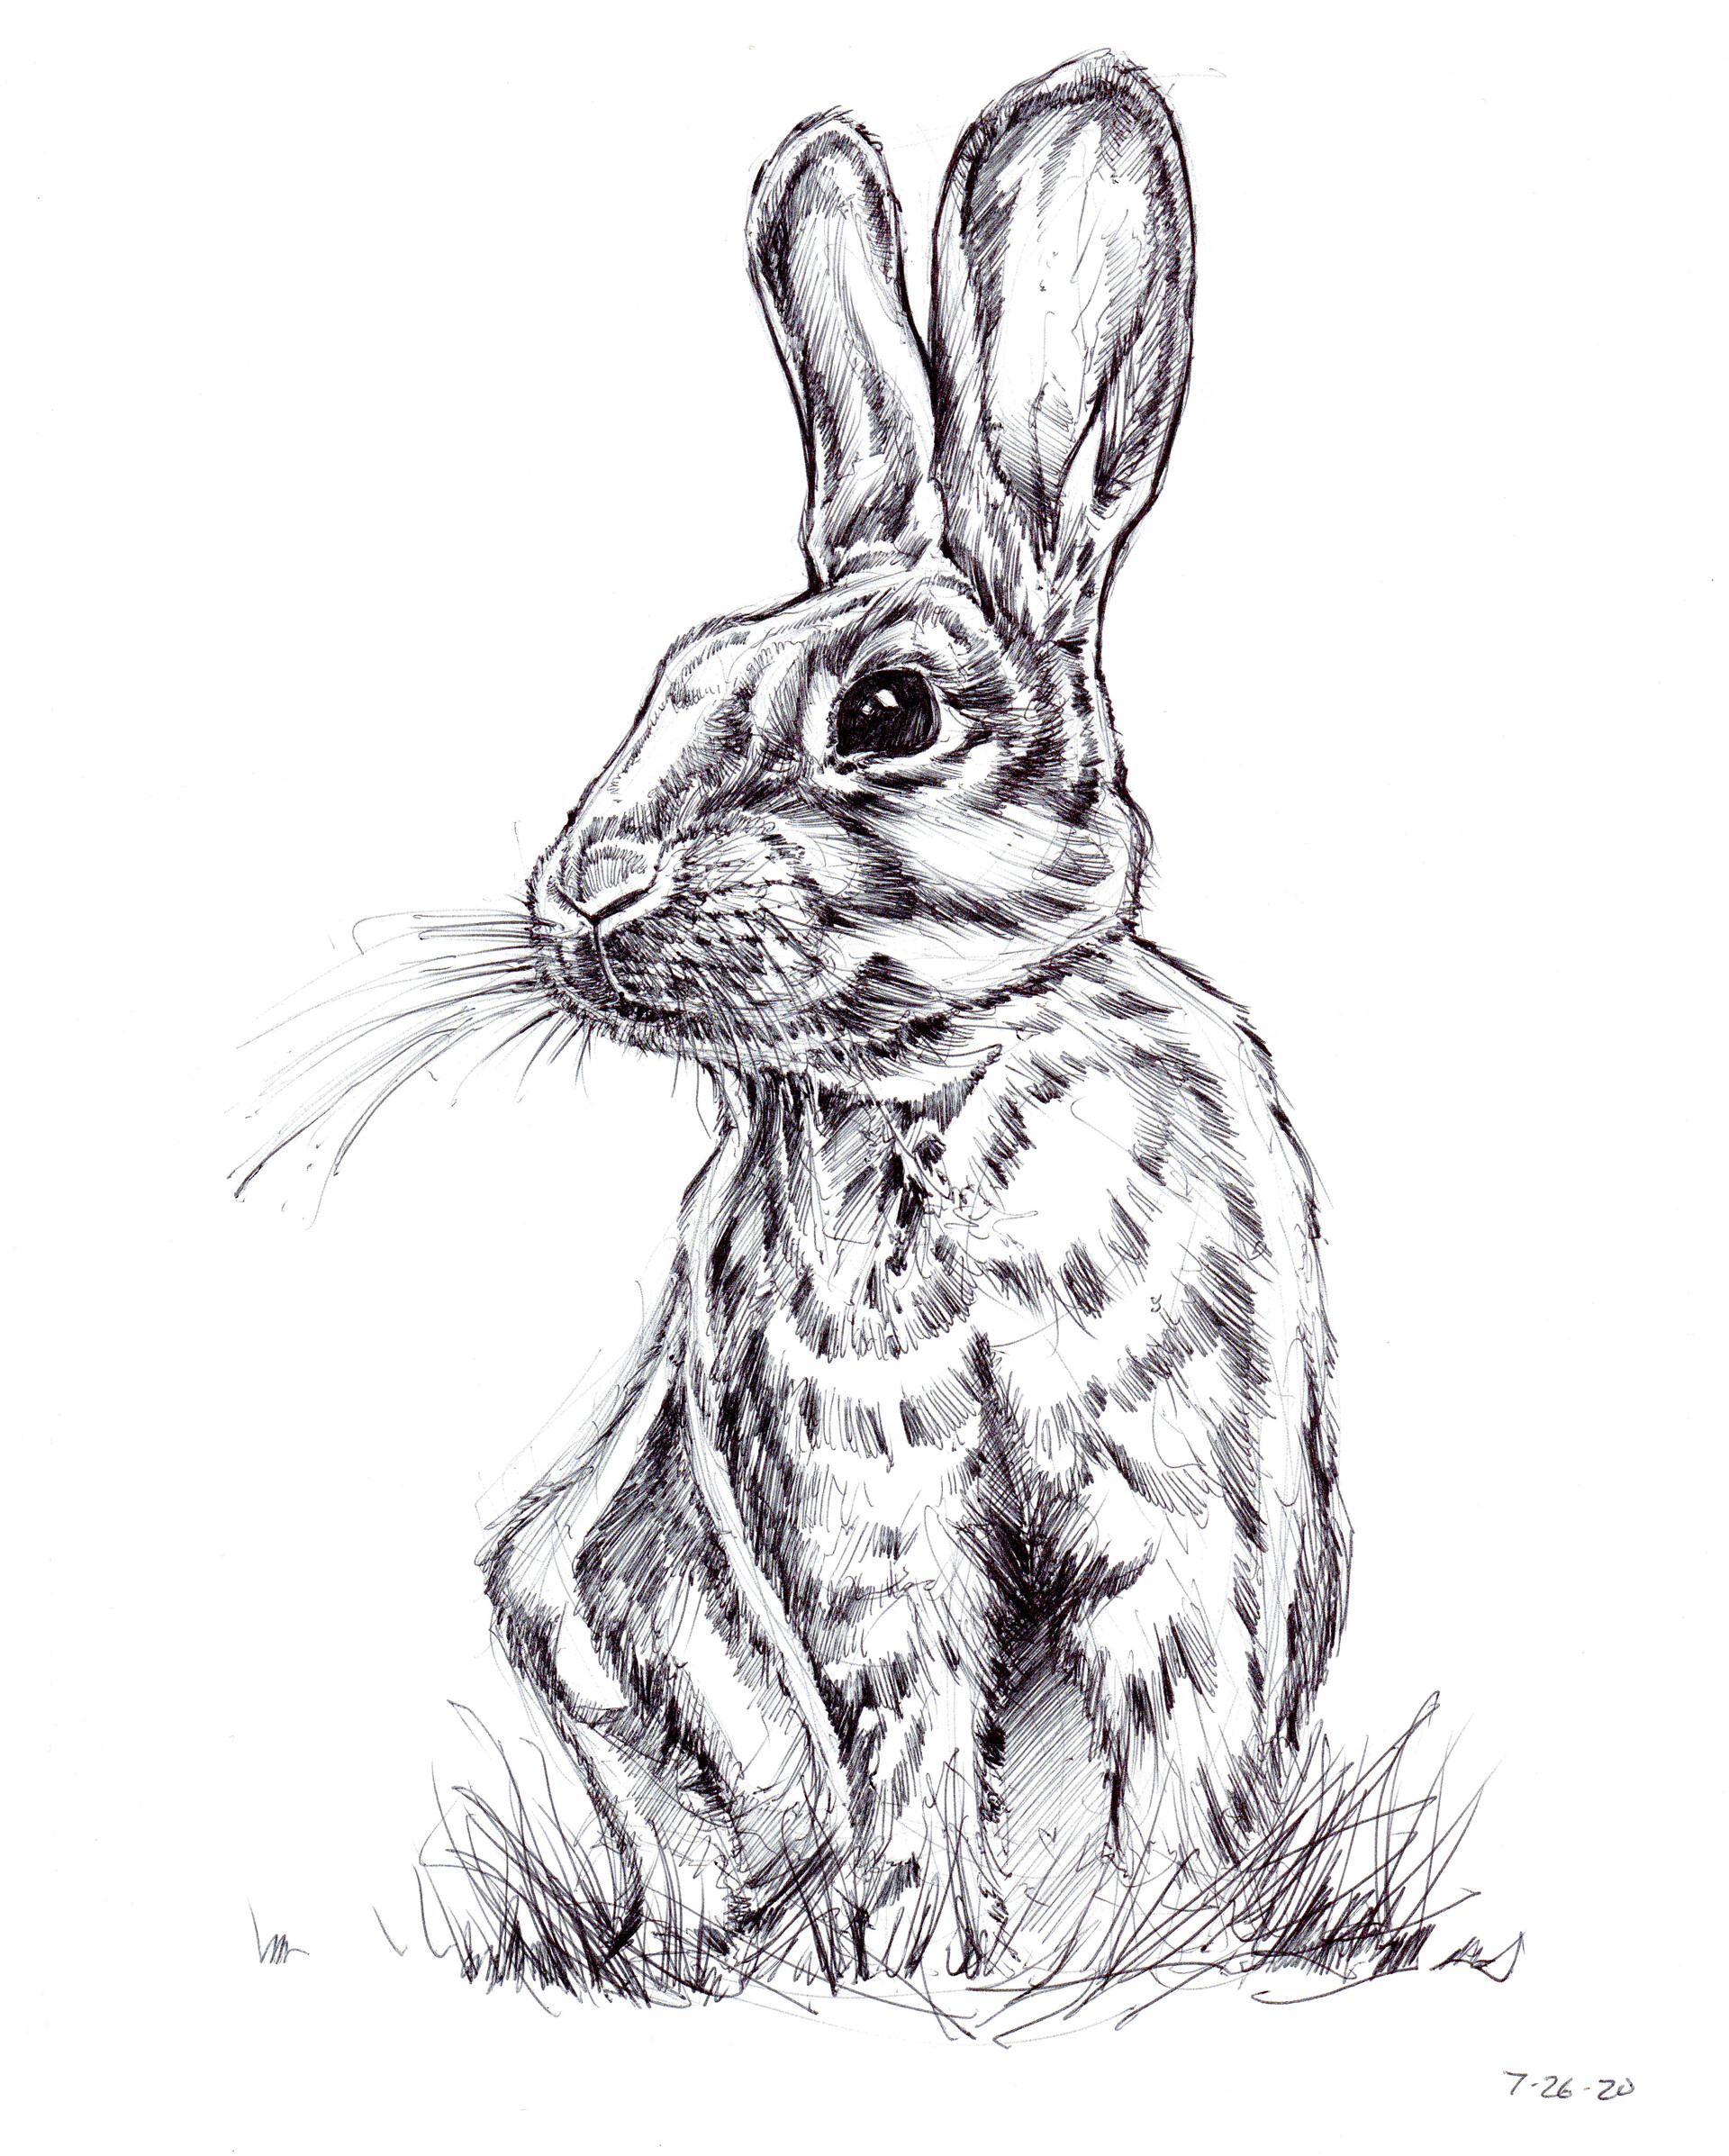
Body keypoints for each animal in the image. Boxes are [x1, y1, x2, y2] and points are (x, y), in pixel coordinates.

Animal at [482, 50, 1349, 1984]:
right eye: (674, 676)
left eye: (890, 709)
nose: (583, 888)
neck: (940, 1088)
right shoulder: (859, 1526)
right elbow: (911, 1729)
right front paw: (925, 1955)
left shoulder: (1179, 1505)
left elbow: (1179, 1720)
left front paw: (1160, 1949)